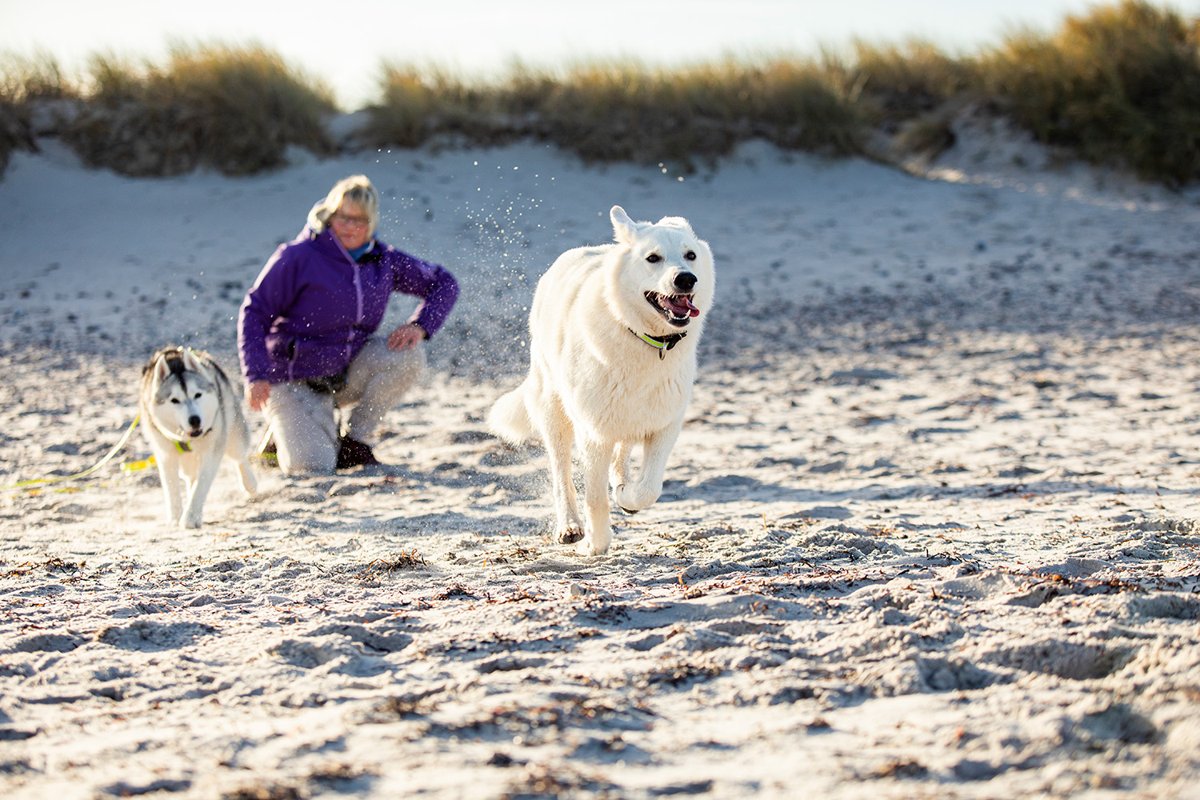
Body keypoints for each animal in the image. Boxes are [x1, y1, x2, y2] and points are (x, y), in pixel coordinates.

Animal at [138, 345, 255, 527]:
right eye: (174, 400)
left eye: (198, 395)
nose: (194, 420)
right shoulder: (166, 455)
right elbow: (171, 487)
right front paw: (176, 516)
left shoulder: (212, 450)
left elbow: (202, 484)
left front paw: (190, 516)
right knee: (190, 476)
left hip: (233, 433)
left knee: (239, 456)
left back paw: (250, 482)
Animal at [487, 206, 710, 556]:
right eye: (653, 258)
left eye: (691, 255)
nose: (686, 278)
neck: (643, 337)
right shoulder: (592, 431)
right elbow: (593, 496)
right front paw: (594, 543)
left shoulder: (664, 424)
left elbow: (649, 487)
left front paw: (626, 495)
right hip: (554, 411)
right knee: (561, 472)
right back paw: (570, 526)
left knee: (623, 448)